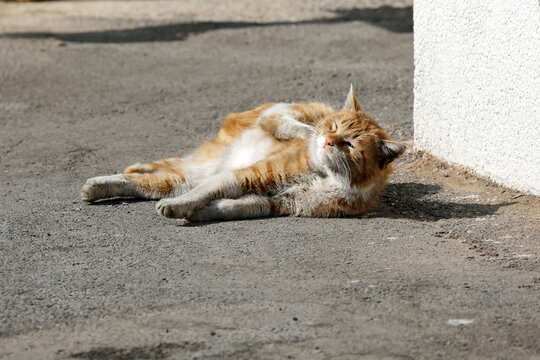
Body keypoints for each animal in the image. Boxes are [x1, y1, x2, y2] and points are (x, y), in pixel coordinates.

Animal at [81, 86, 404, 222]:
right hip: (294, 111)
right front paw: (180, 207)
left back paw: (98, 187)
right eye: (335, 127)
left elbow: (230, 206)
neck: (331, 178)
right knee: (278, 119)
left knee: (143, 181)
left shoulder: (276, 202)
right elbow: (204, 193)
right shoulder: (249, 175)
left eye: (350, 145)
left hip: (183, 177)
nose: (327, 141)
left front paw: (199, 213)